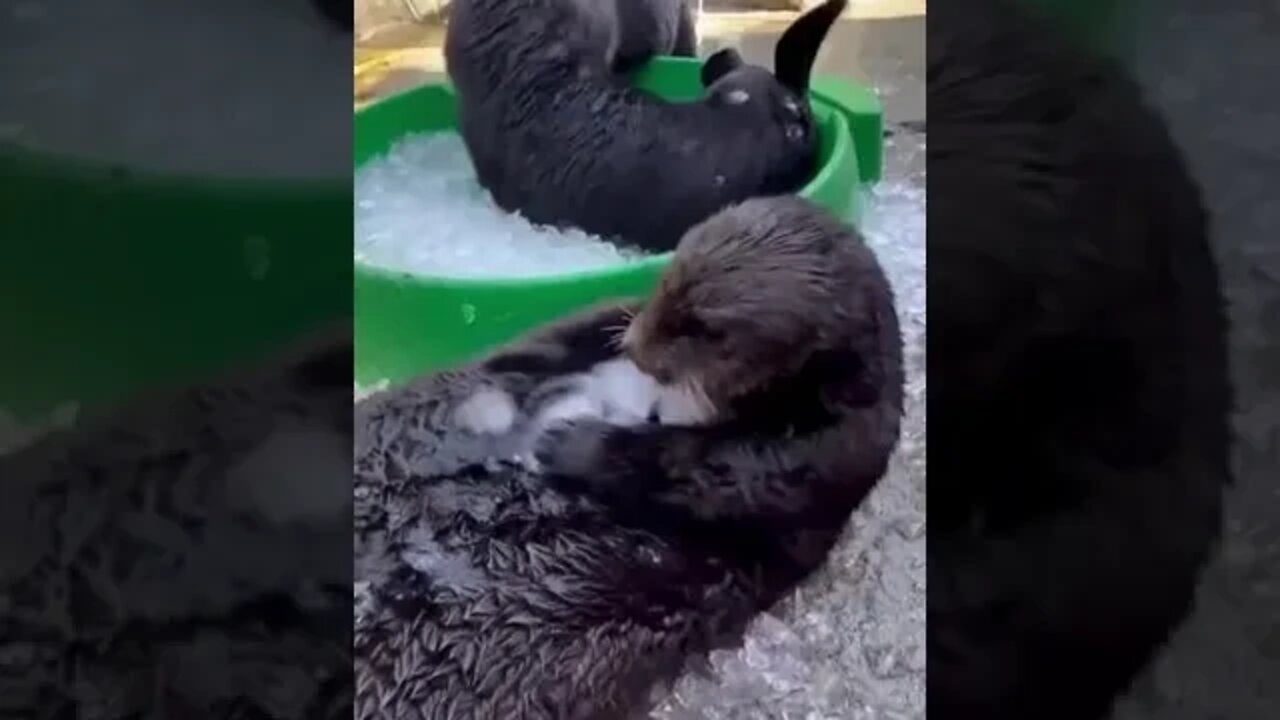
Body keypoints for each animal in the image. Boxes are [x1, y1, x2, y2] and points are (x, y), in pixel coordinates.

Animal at [355, 193, 906, 712]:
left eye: (708, 333)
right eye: (668, 278)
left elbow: (719, 470)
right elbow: (564, 330)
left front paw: (569, 441)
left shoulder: (834, 446)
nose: (638, 349)